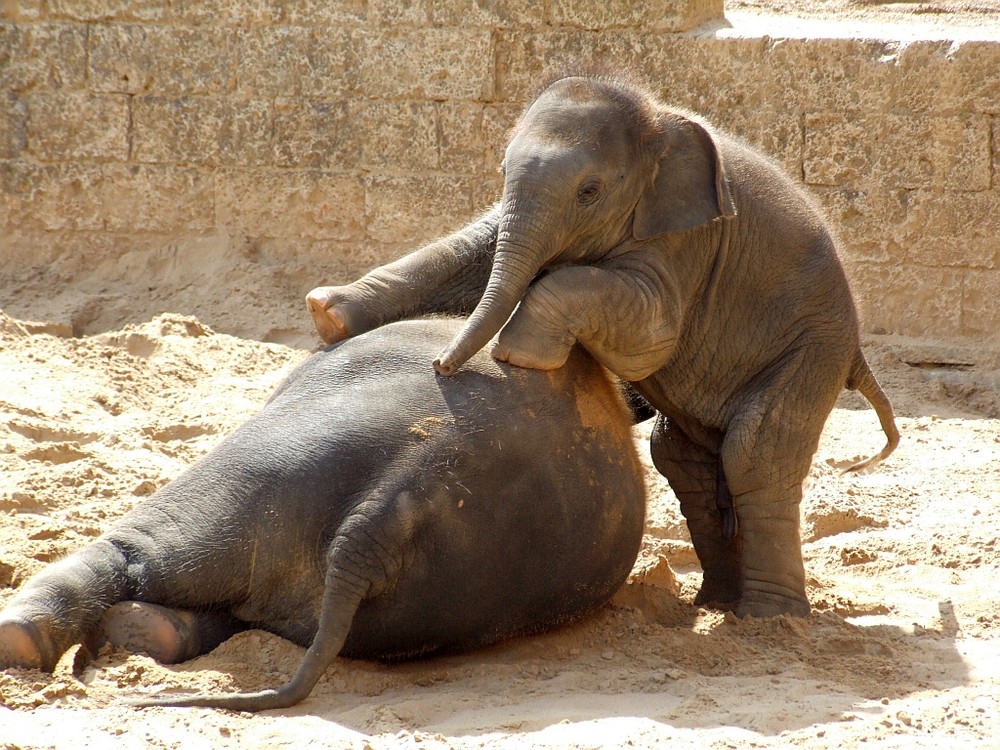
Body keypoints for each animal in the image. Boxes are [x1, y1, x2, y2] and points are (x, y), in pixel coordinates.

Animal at [304, 73, 900, 620]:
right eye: (502, 173)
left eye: (589, 192)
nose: (442, 366)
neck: (654, 118)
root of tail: (856, 350)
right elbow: (475, 250)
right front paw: (327, 313)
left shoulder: (686, 243)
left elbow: (652, 335)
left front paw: (516, 354)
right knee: (683, 459)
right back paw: (715, 603)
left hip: (812, 350)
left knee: (755, 454)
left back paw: (768, 620)